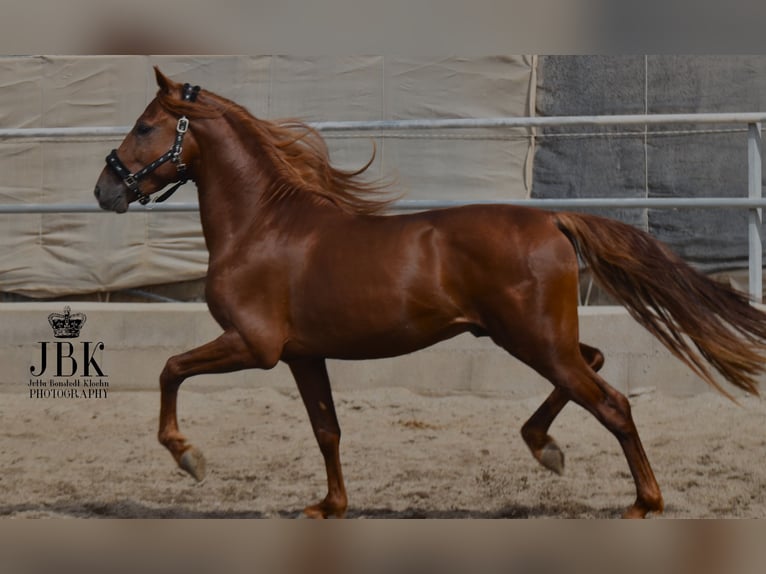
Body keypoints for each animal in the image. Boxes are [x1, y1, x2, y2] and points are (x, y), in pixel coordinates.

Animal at [93, 68, 764, 520]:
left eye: (145, 126)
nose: (105, 190)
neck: (263, 226)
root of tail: (551, 219)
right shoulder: (302, 354)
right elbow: (327, 429)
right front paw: (330, 506)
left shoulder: (253, 346)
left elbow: (169, 368)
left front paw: (188, 458)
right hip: (539, 337)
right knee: (593, 367)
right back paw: (544, 447)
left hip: (533, 339)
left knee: (613, 402)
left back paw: (643, 501)